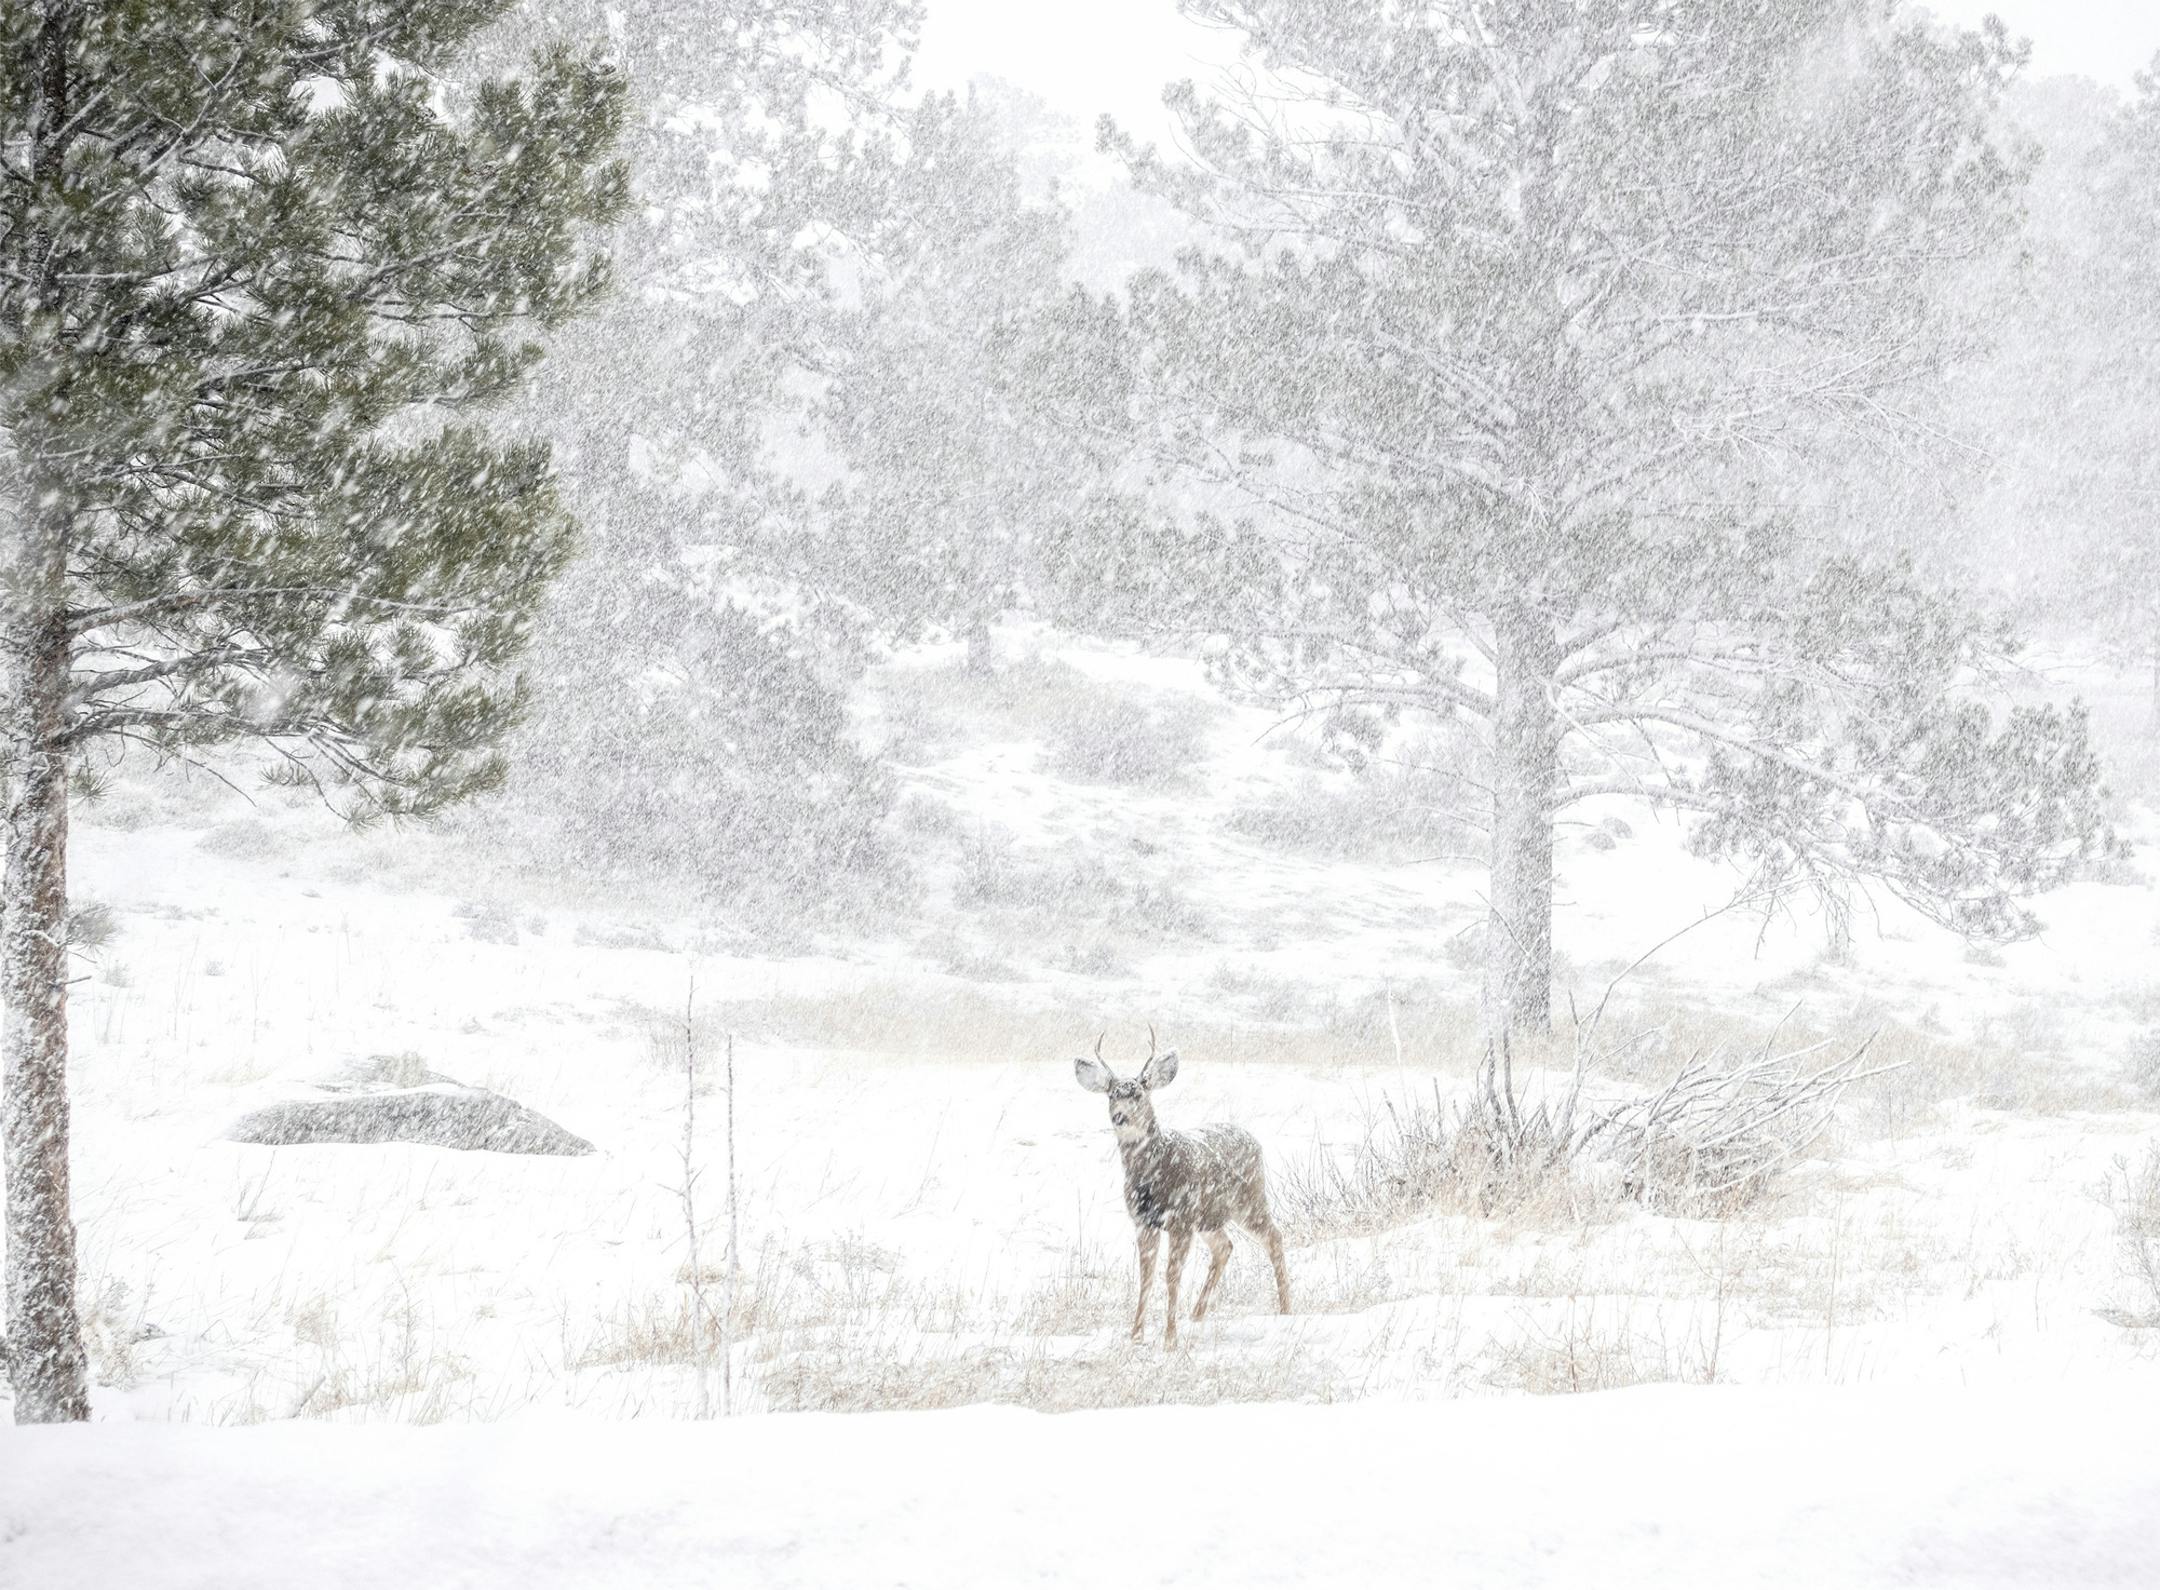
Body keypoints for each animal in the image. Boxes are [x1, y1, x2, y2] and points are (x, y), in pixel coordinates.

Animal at [1073, 1026, 1291, 1347]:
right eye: (1112, 1094)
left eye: (1138, 1093)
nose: (1119, 1117)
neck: (1154, 1175)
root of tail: (1253, 1139)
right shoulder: (1144, 1221)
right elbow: (1146, 1276)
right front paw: (1136, 1335)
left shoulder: (1181, 1219)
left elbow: (1171, 1275)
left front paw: (1170, 1339)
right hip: (1210, 1218)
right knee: (1225, 1246)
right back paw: (1197, 1315)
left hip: (1249, 1200)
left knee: (1273, 1237)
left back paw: (1286, 1309)